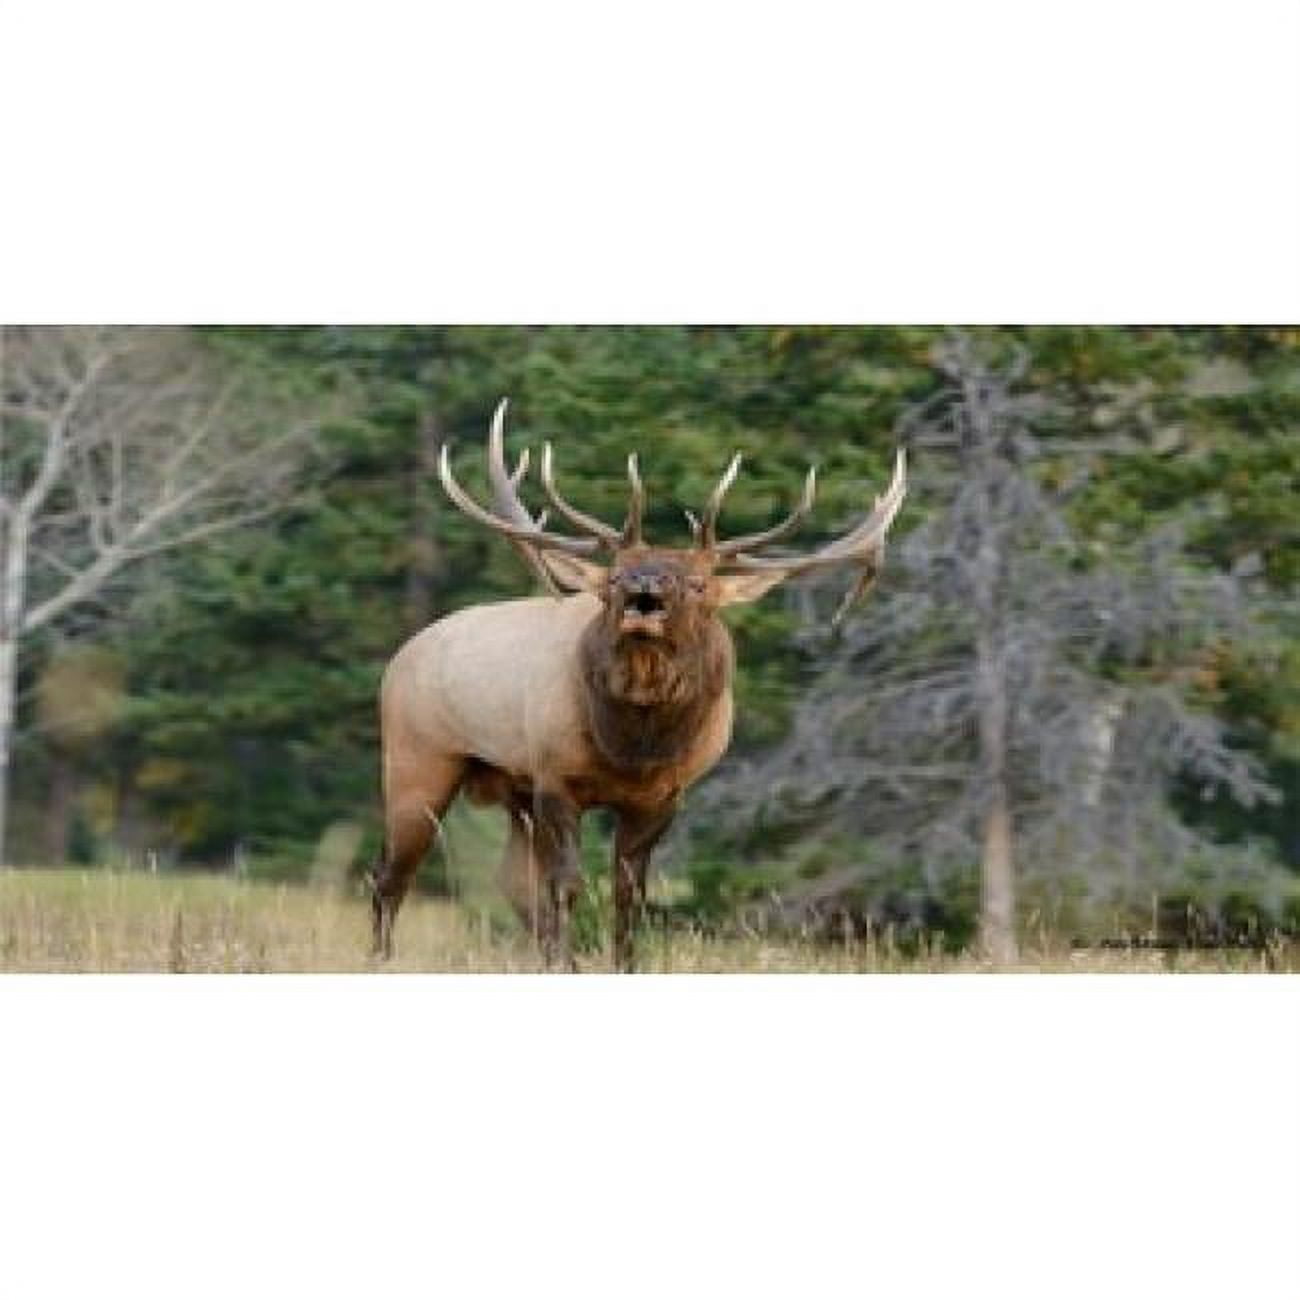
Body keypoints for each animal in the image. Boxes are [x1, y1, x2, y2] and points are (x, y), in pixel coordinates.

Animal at [370, 400, 906, 970]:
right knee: (391, 875)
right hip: (419, 759)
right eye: (612, 577)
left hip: (511, 789)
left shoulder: (662, 796)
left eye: (698, 583)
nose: (642, 587)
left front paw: (619, 964)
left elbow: (629, 896)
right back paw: (382, 958)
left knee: (511, 882)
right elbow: (568, 886)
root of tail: (402, 654)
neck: (633, 749)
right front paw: (568, 961)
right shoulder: (555, 778)